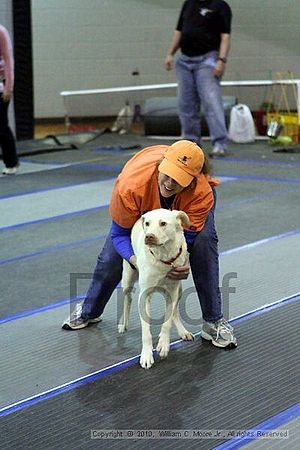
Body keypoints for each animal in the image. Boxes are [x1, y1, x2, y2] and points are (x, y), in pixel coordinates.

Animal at [118, 209, 193, 368]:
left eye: (163, 223)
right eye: (147, 223)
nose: (149, 236)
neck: (163, 256)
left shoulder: (172, 291)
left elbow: (167, 321)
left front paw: (163, 344)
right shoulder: (144, 295)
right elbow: (146, 332)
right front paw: (146, 356)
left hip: (179, 289)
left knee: (174, 313)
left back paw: (183, 332)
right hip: (127, 278)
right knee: (127, 299)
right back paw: (122, 324)